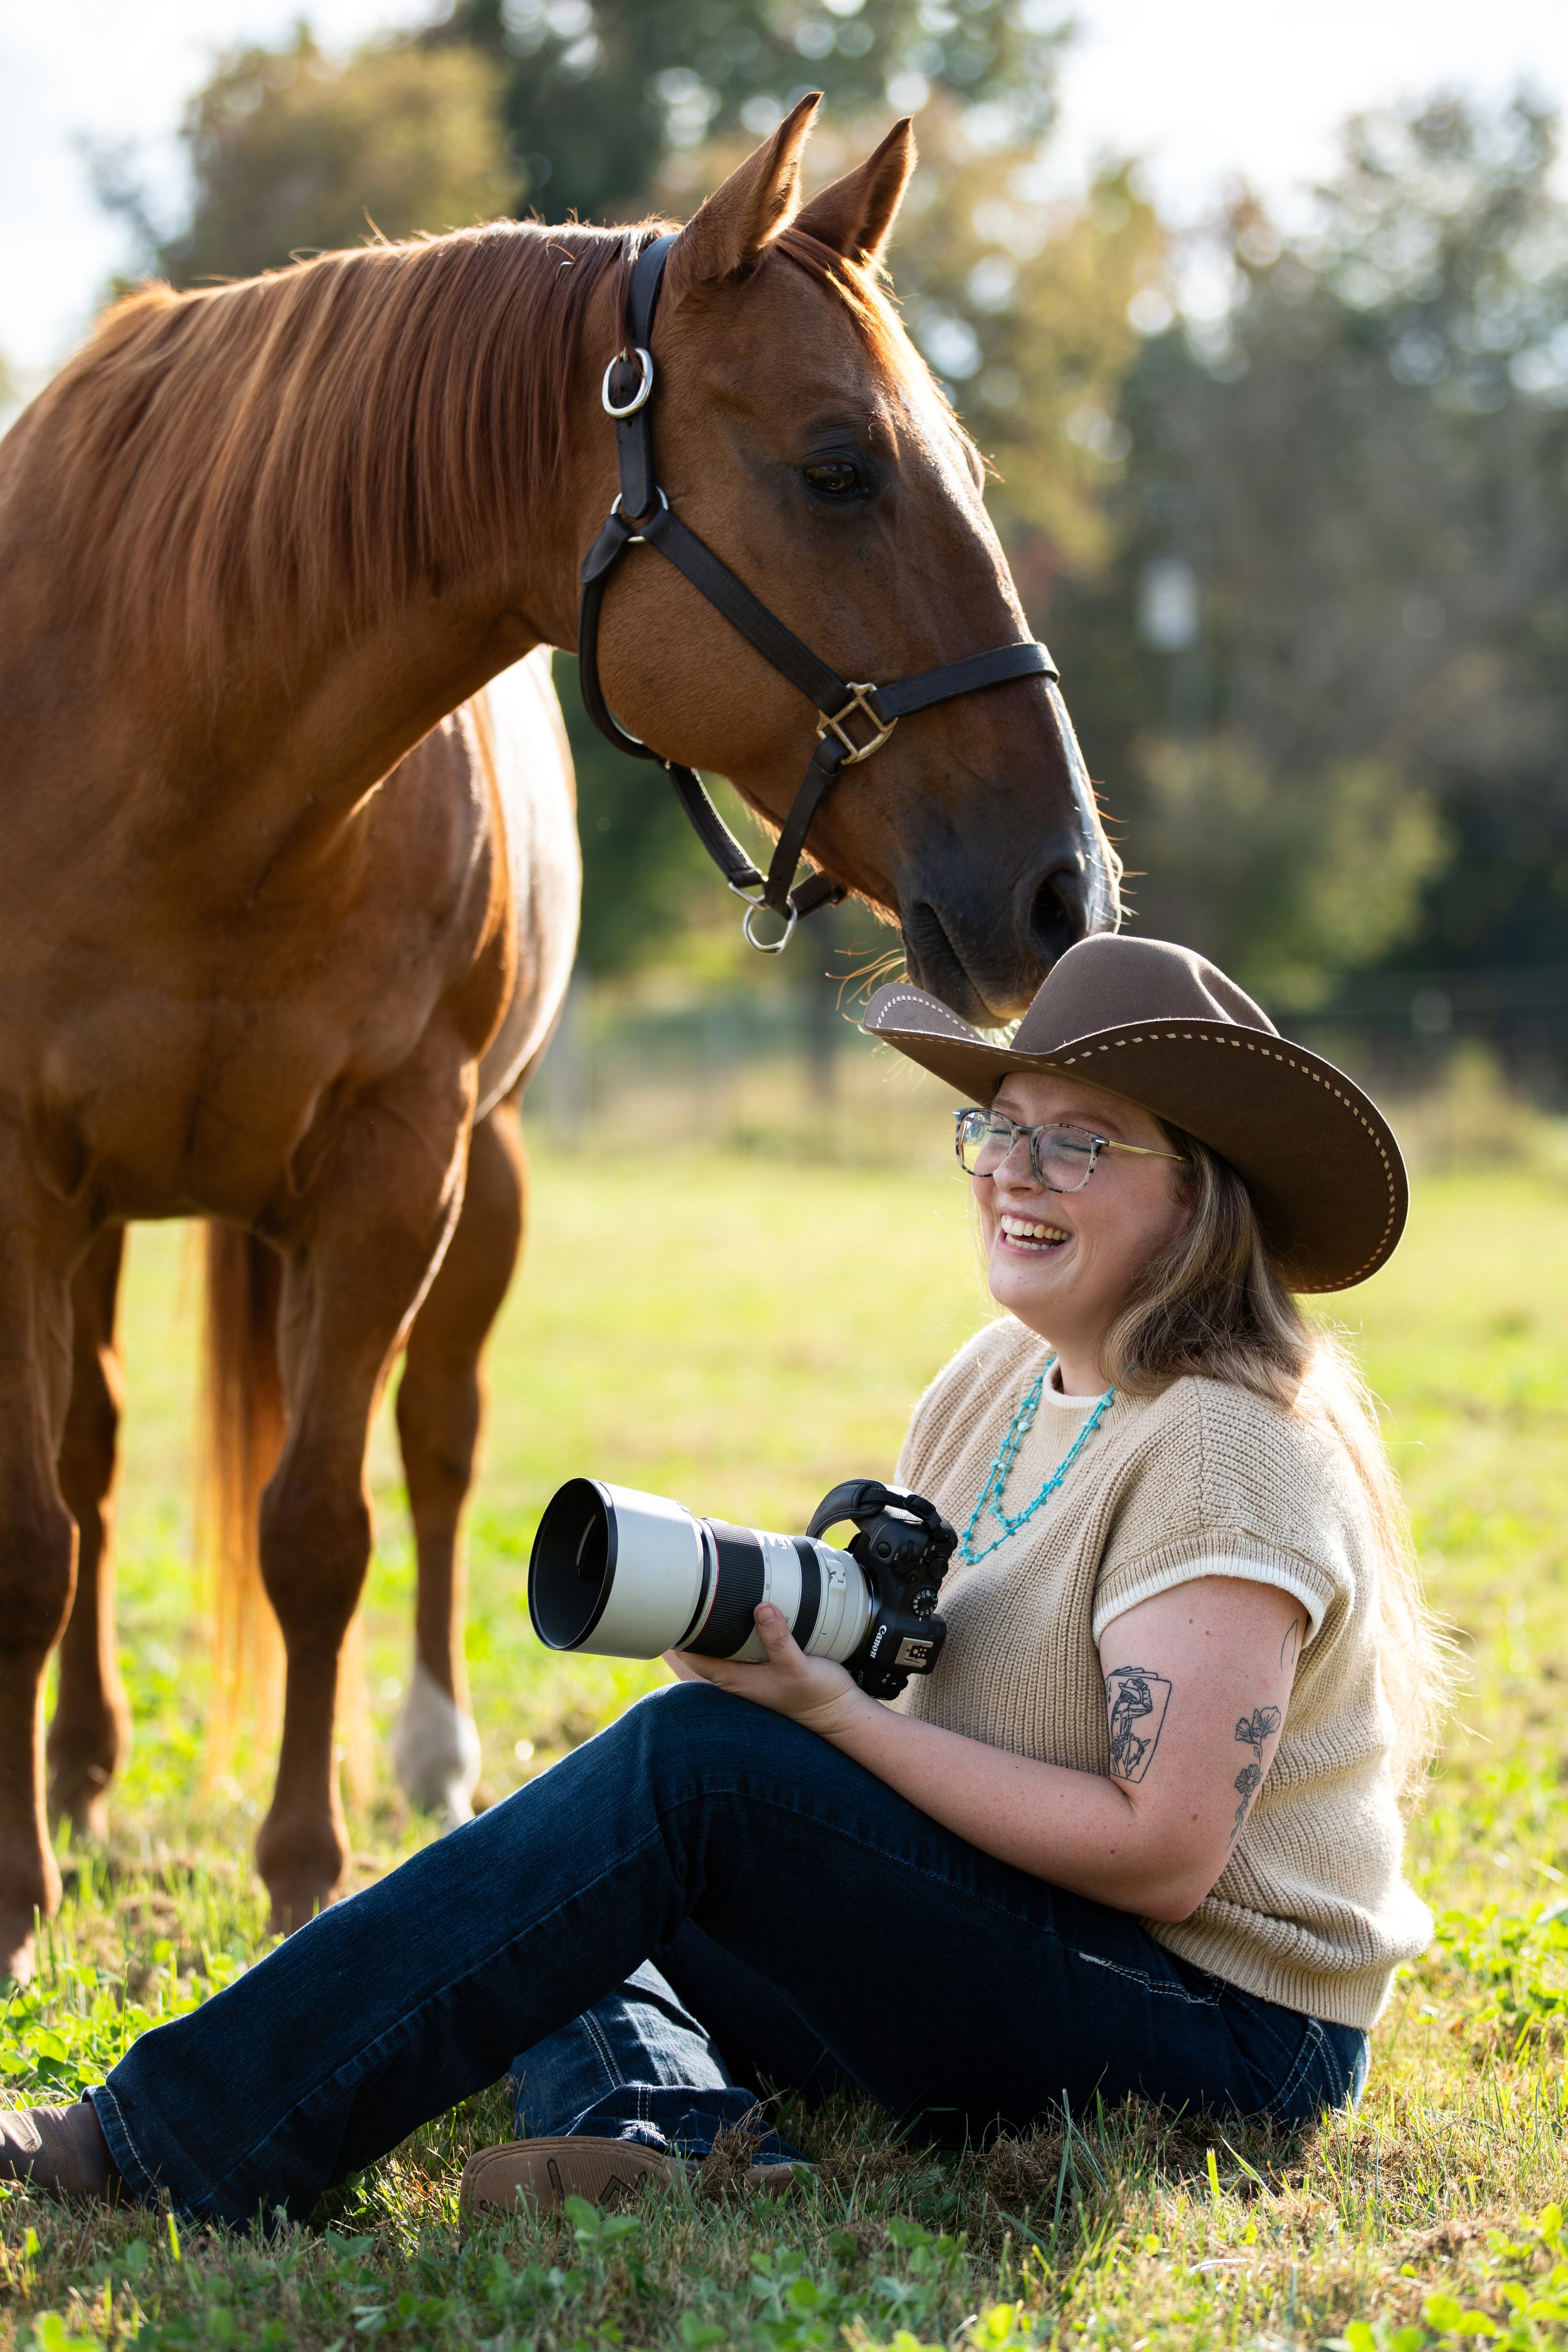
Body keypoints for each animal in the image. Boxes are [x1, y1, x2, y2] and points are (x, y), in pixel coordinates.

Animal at [0, 95, 1119, 1981]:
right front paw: (17, 1902)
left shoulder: (393, 1169)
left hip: (481, 1185)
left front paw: (300, 1875)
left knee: (436, 1441)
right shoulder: (23, 1179)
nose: (1063, 887)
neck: (179, 739)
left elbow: (321, 1529)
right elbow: (35, 1521)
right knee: (92, 1454)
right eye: (839, 466)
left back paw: (425, 1749)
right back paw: (80, 1766)